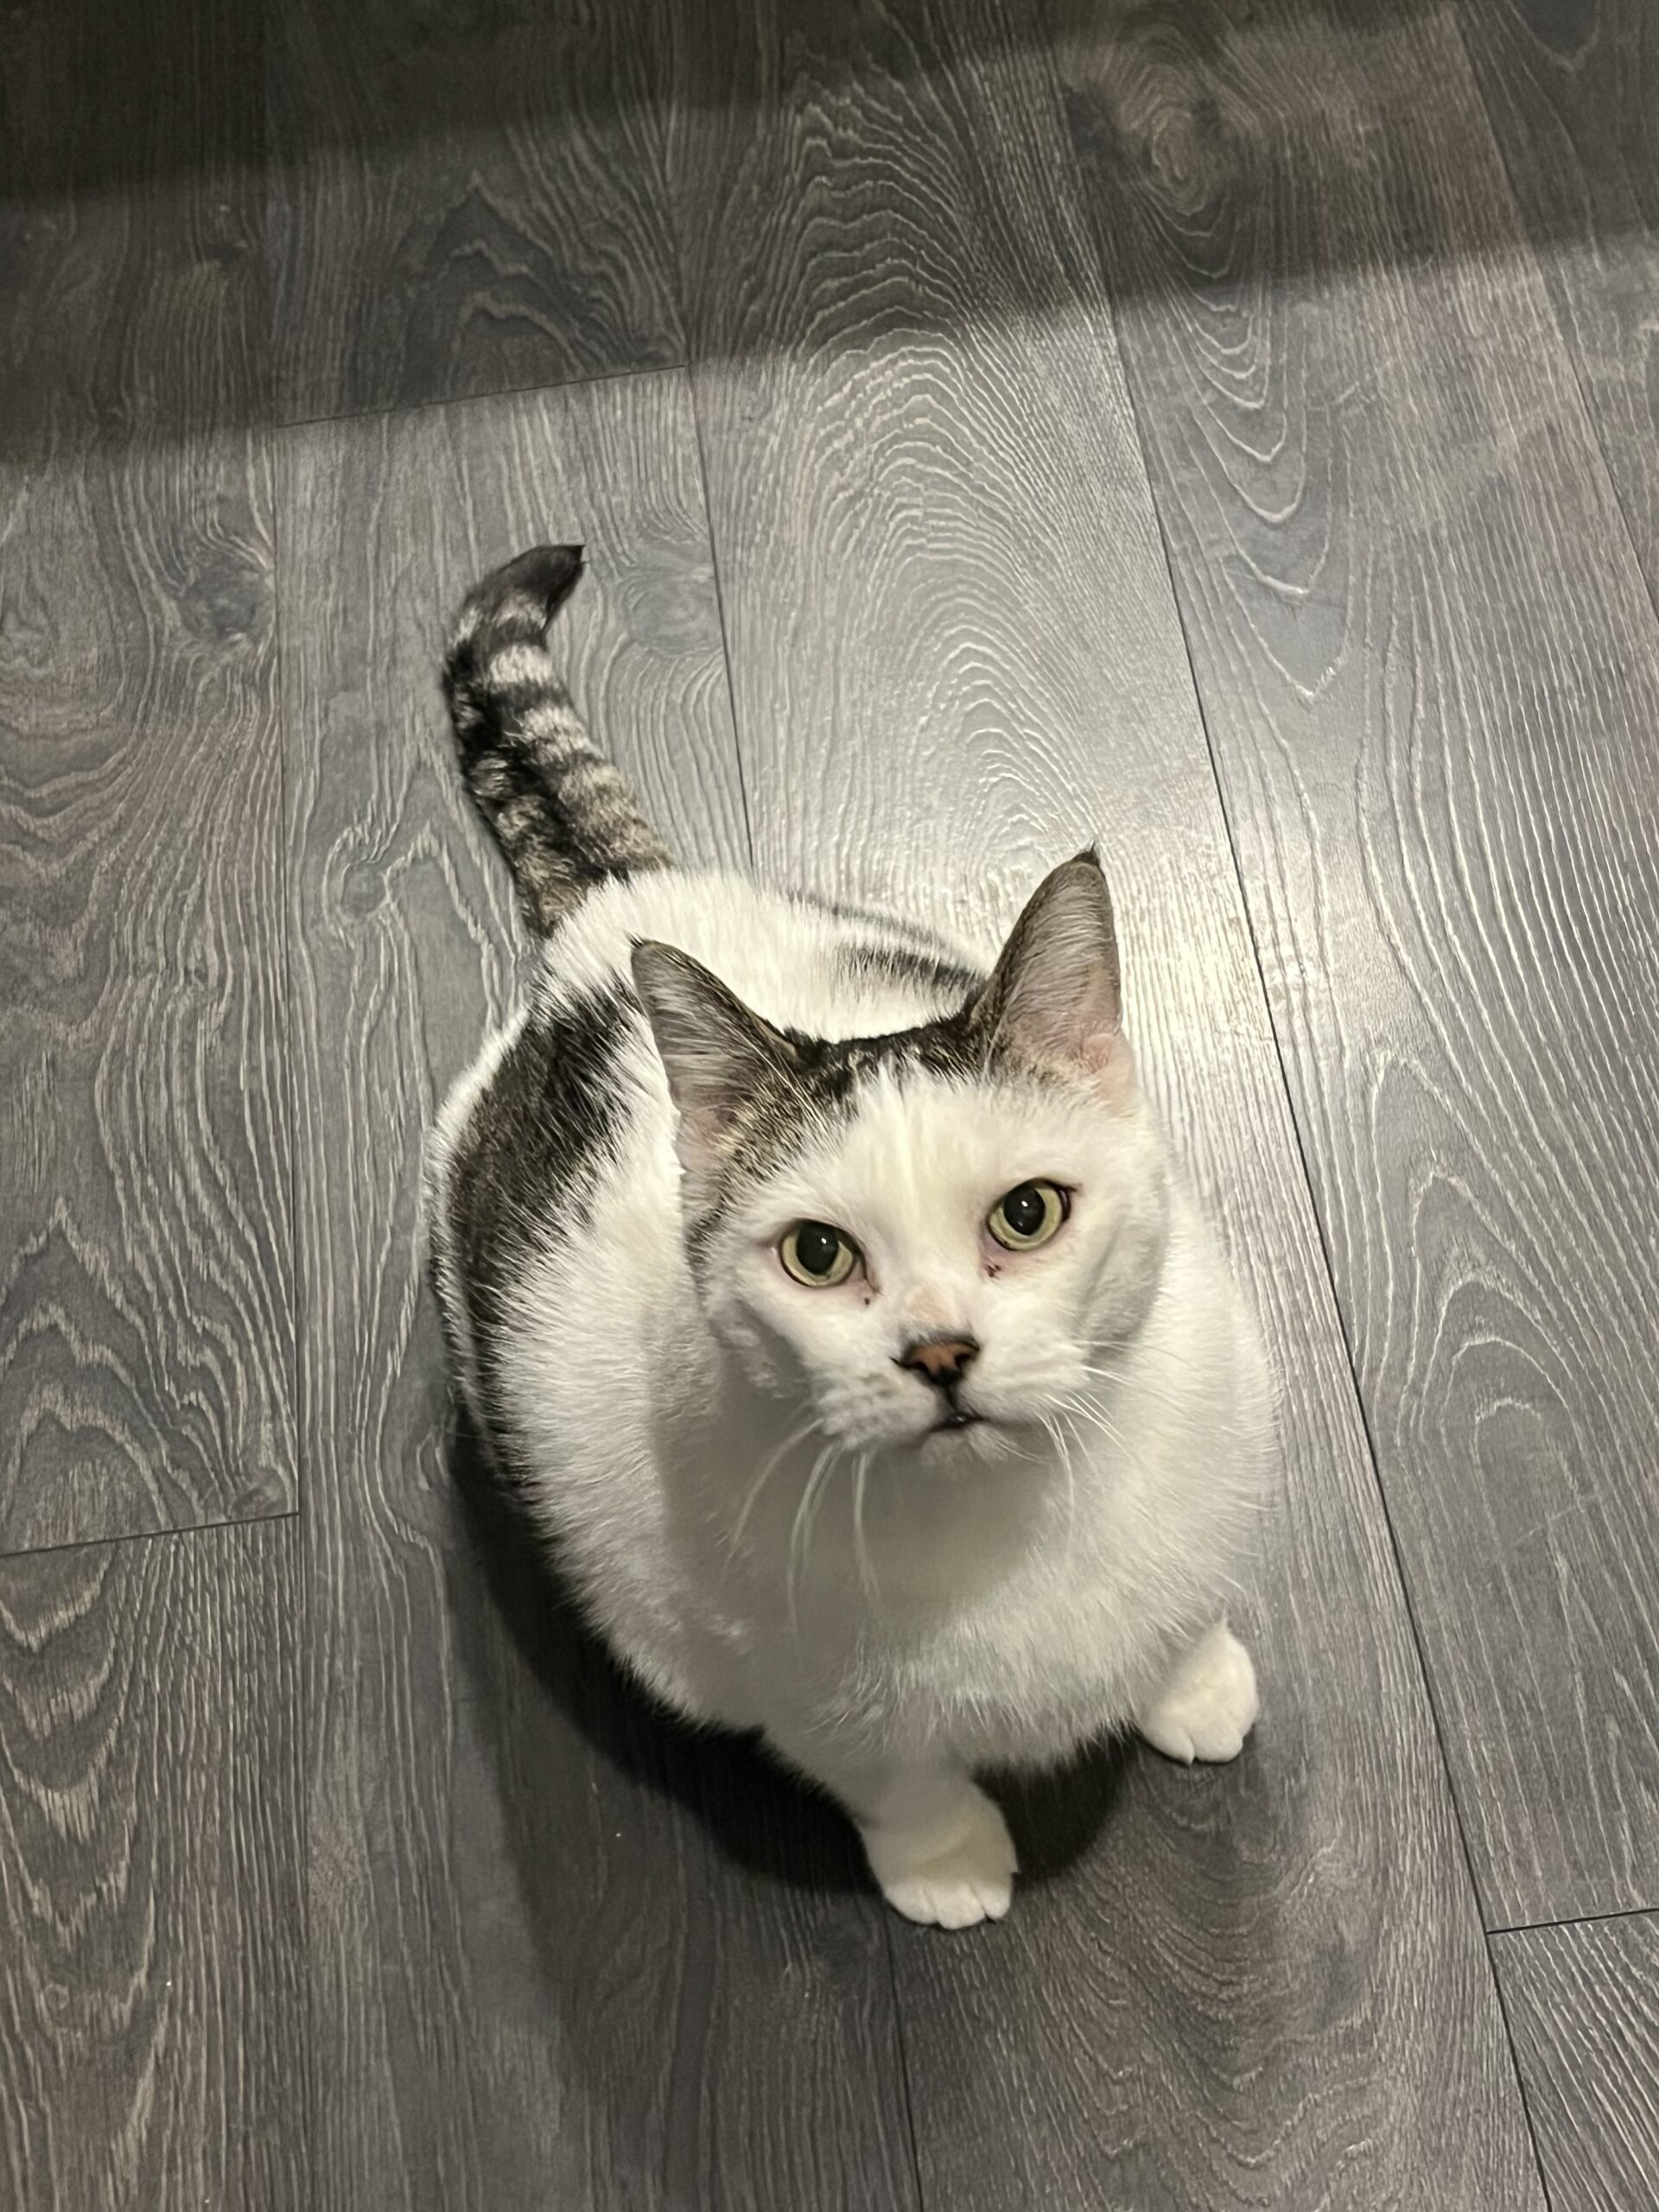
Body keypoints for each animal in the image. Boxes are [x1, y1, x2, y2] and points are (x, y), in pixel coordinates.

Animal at [426, 544, 1275, 1929]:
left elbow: (1180, 1600)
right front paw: (946, 1861)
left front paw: (1192, 1682)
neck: (1006, 1527)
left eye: (1028, 1213)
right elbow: (892, 1772)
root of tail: (620, 915)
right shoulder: (789, 1685)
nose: (938, 1351)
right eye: (818, 1255)